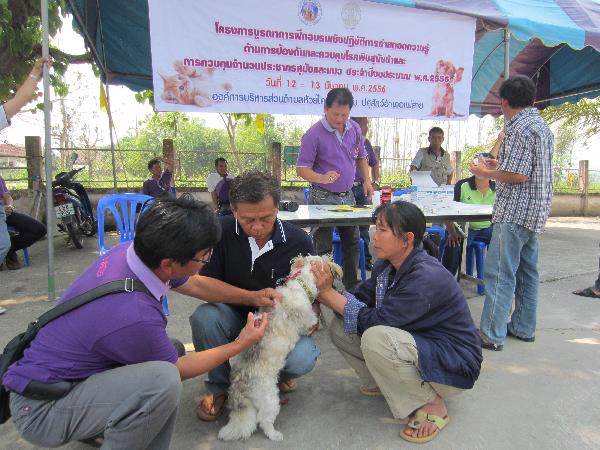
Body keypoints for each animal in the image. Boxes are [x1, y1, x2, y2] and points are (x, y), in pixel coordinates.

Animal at [218, 255, 343, 441]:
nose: (331, 256)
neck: (300, 284)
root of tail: (241, 384)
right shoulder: (306, 319)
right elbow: (310, 322)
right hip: (270, 400)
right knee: (264, 420)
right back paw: (274, 435)